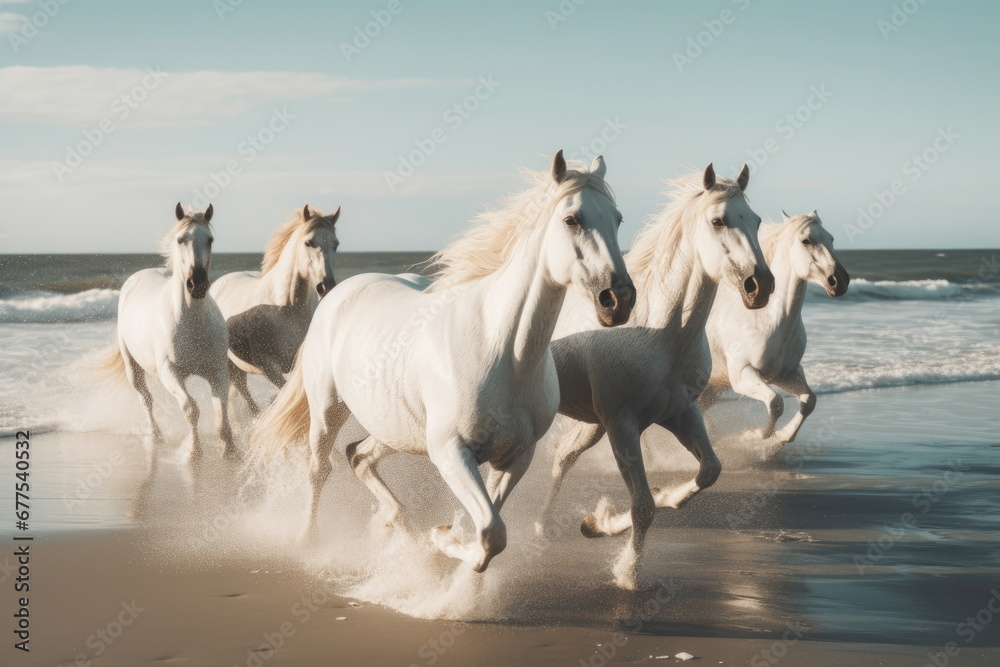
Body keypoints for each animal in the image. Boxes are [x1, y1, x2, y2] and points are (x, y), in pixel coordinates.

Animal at [99, 203, 236, 462]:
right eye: (181, 239)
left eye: (210, 239)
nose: (197, 284)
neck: (192, 322)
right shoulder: (171, 372)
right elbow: (191, 408)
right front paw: (193, 452)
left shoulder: (217, 371)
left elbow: (221, 407)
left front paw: (230, 448)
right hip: (133, 369)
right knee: (146, 399)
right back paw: (156, 436)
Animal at [209, 205, 340, 413]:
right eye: (309, 242)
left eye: (336, 244)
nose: (325, 286)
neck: (288, 309)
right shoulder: (268, 367)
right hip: (231, 366)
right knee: (244, 394)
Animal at [250, 151, 635, 573]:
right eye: (572, 219)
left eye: (617, 219)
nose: (619, 299)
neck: (503, 351)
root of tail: (337, 292)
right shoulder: (452, 452)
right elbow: (490, 533)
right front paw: (441, 540)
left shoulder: (517, 456)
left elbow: (490, 534)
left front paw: (447, 550)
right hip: (327, 411)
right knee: (320, 468)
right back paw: (310, 540)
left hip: (396, 428)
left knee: (359, 456)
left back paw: (397, 523)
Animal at [536, 164, 774, 589]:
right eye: (718, 221)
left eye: (757, 220)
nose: (760, 286)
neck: (660, 332)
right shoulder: (623, 425)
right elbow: (643, 505)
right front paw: (627, 573)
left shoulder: (679, 413)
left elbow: (708, 471)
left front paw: (600, 522)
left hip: (592, 423)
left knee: (563, 457)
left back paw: (544, 527)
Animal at [699, 210, 849, 445]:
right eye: (807, 241)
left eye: (831, 239)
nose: (840, 281)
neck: (767, 320)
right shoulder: (743, 374)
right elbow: (775, 402)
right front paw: (754, 435)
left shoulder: (785, 374)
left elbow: (809, 400)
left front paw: (782, 436)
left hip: (711, 391)